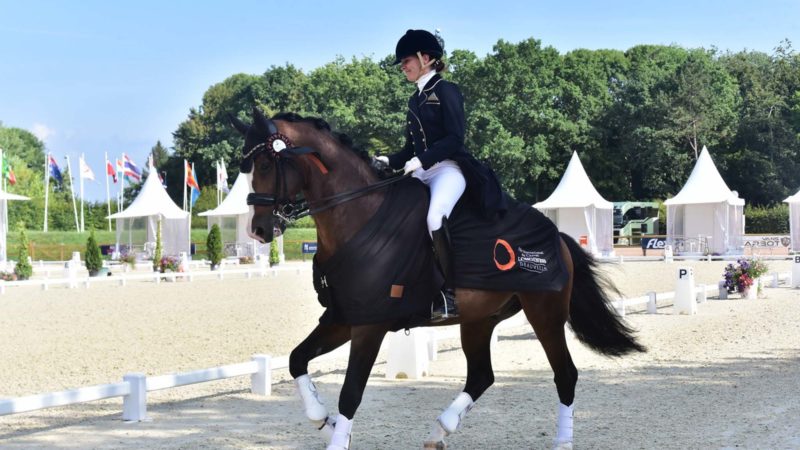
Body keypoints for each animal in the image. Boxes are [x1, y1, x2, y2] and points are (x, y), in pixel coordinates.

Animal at [230, 107, 644, 448]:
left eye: (264, 166)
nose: (258, 231)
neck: (358, 214)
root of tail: (557, 236)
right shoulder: (343, 317)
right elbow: (297, 360)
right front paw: (326, 422)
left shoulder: (369, 325)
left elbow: (351, 392)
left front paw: (336, 434)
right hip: (479, 319)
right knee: (481, 376)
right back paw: (439, 430)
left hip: (545, 313)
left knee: (565, 375)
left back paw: (560, 442)